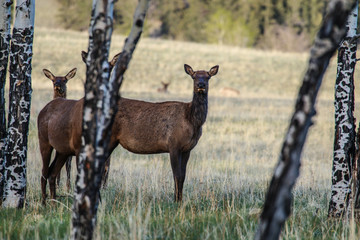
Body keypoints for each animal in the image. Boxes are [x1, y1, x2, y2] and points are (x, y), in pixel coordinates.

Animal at [39, 63, 219, 204]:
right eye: (194, 76)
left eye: (208, 77)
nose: (201, 85)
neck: (191, 121)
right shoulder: (173, 144)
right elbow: (176, 175)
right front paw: (176, 201)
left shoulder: (187, 149)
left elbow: (182, 176)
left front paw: (180, 201)